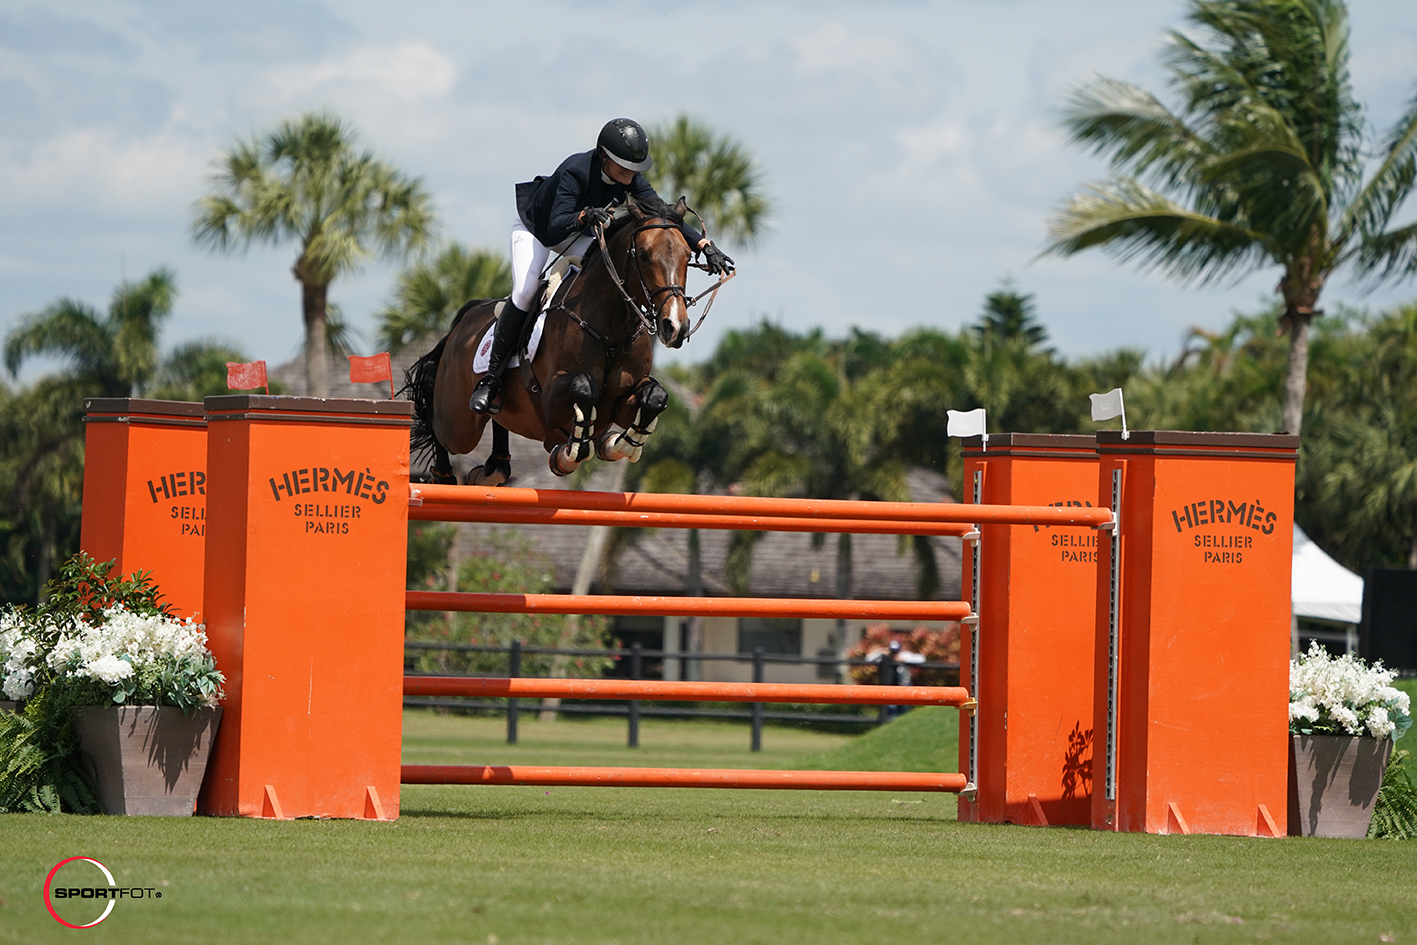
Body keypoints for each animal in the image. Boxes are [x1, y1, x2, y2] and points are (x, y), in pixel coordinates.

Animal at [402, 195, 699, 484]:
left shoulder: (624, 400)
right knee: (438, 424)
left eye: (687, 256)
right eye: (645, 256)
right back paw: (444, 474)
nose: (675, 326)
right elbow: (584, 388)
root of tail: (462, 322)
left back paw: (494, 468)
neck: (611, 331)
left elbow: (655, 396)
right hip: (459, 424)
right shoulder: (552, 399)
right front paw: (569, 454)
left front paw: (618, 443)